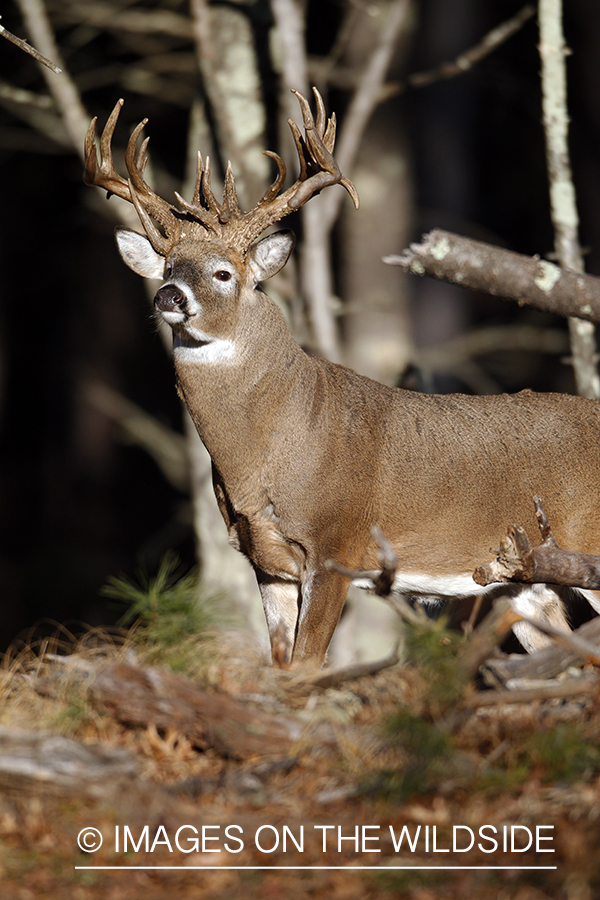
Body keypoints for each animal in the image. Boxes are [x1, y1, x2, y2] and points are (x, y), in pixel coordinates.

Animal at [83, 89, 600, 668]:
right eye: (170, 265)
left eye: (224, 273)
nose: (168, 295)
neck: (266, 453)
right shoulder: (266, 560)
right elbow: (283, 664)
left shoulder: (337, 544)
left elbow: (309, 663)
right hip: (525, 584)